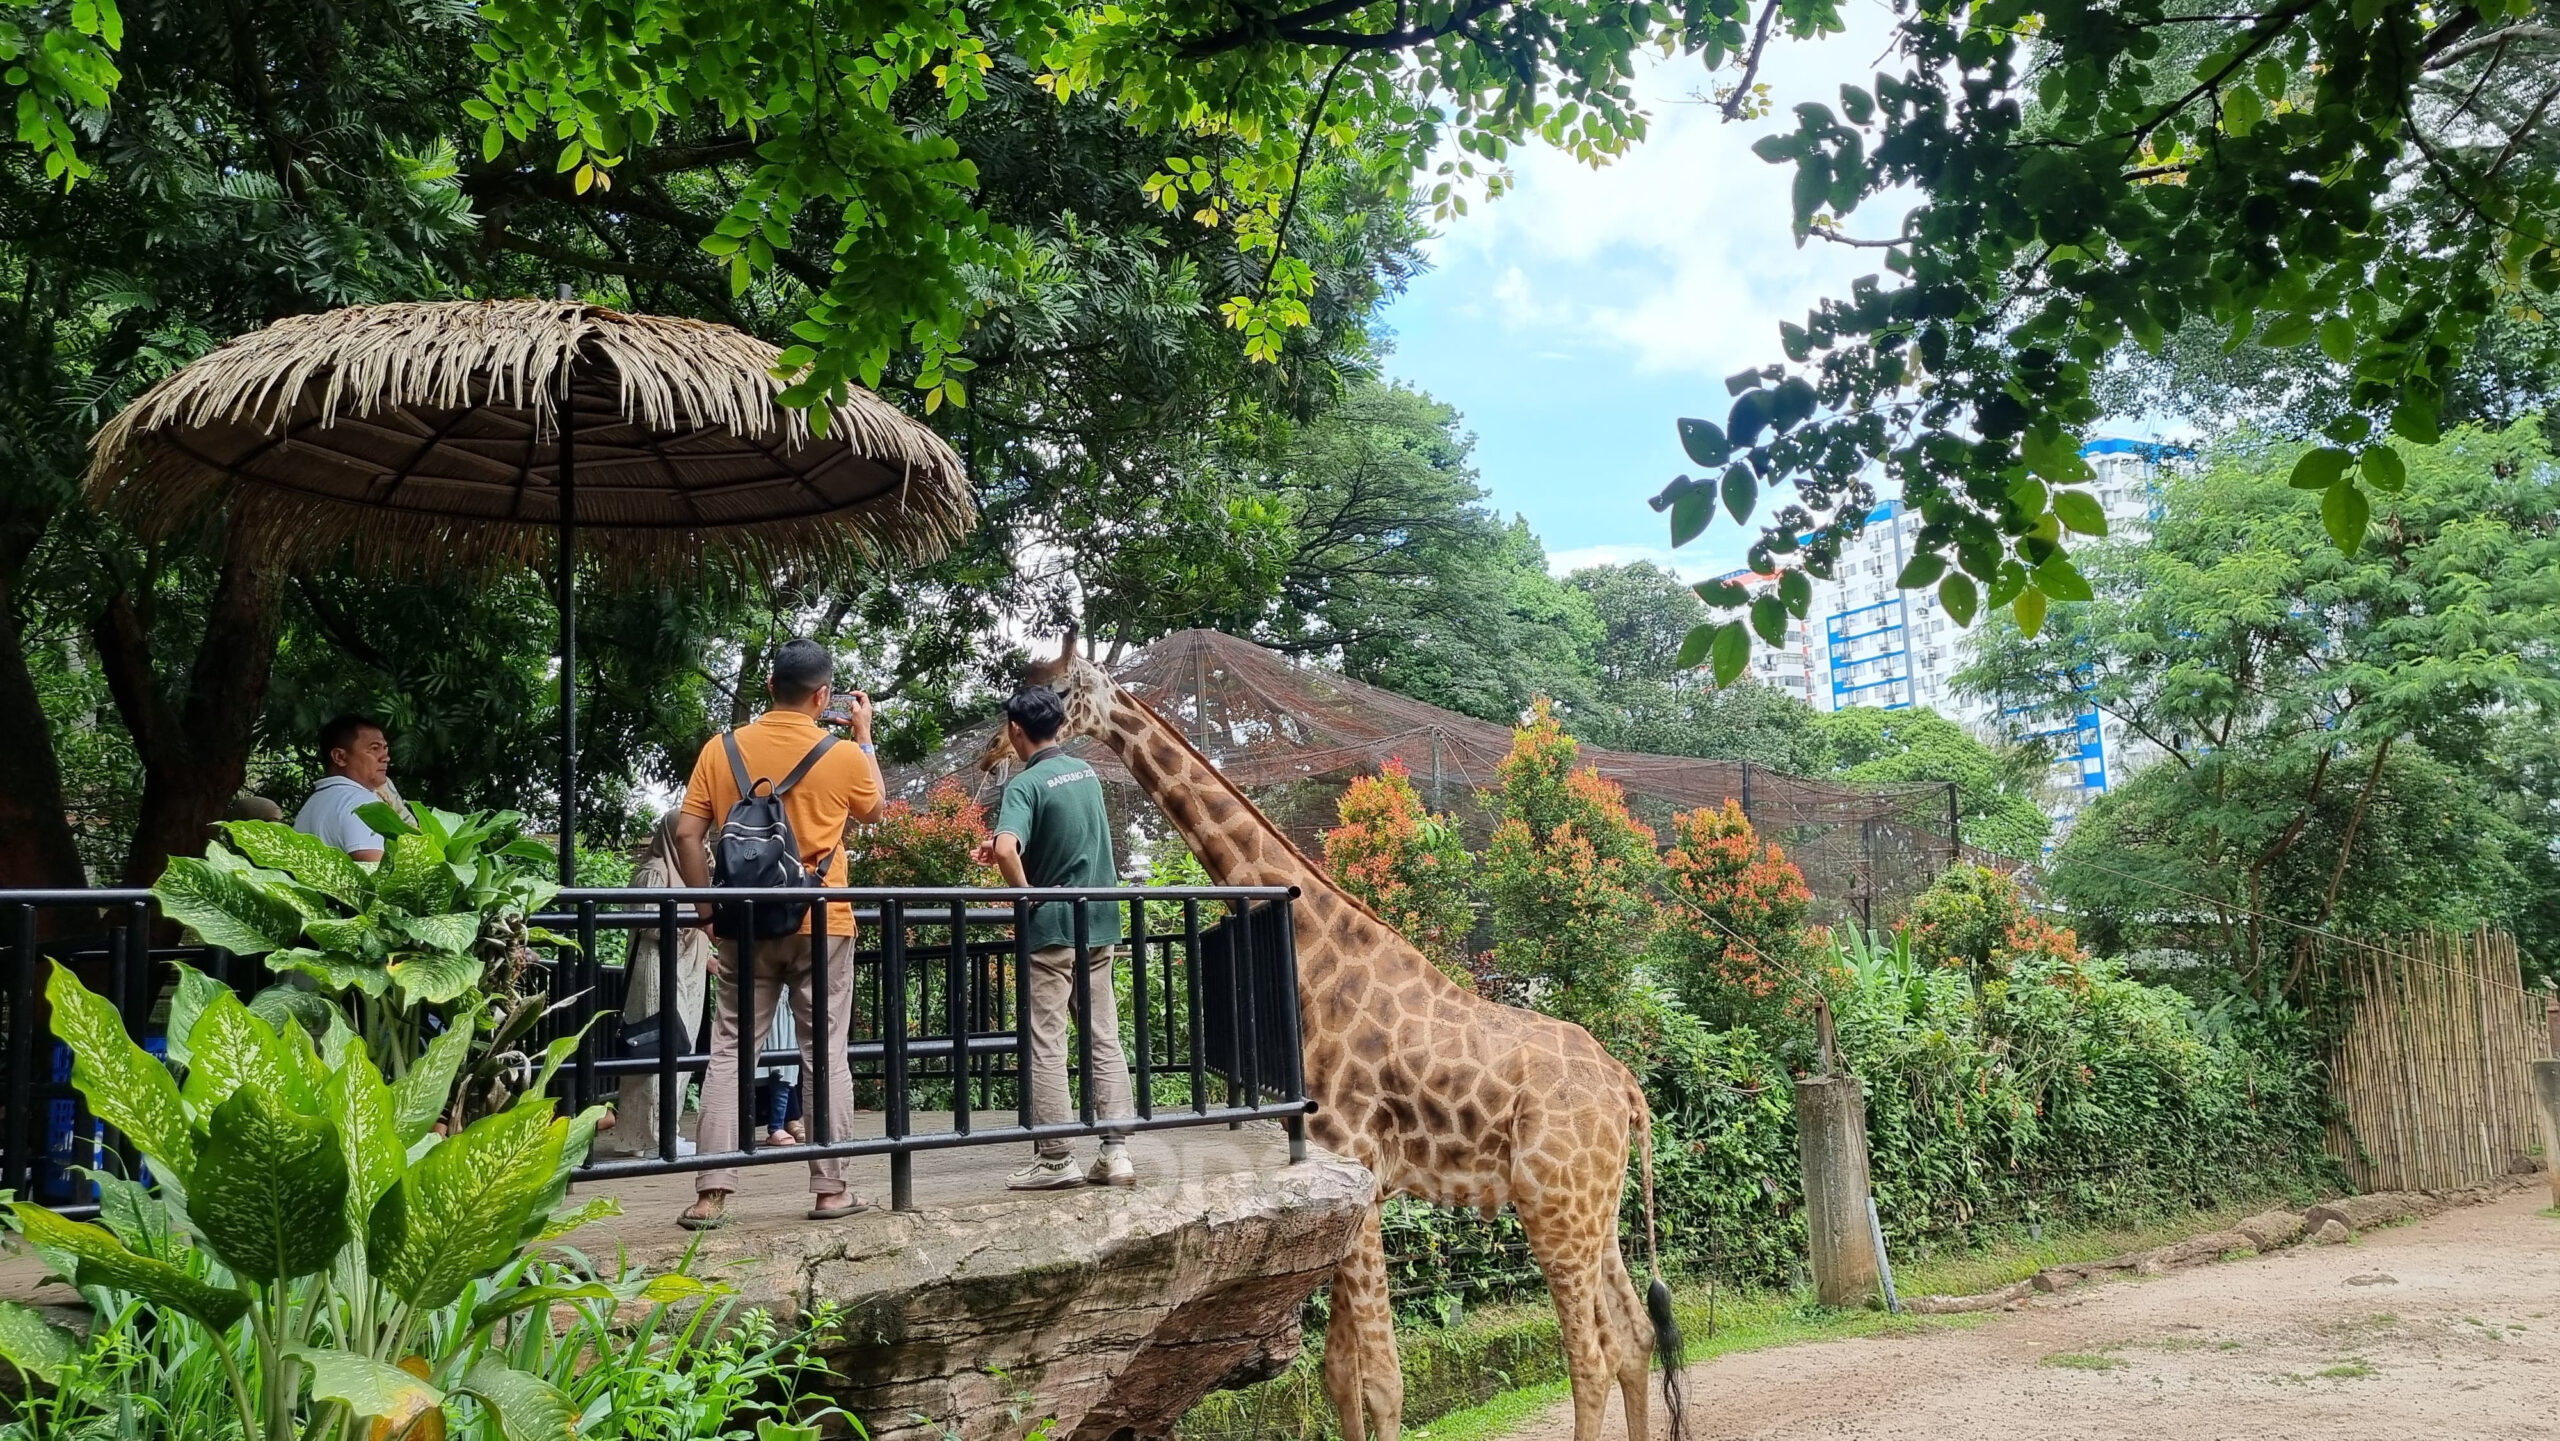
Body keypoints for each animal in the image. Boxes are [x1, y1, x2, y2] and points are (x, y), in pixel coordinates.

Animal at [977, 639, 1679, 1441]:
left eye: (1053, 690)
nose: (992, 753)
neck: (1315, 952)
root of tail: (1627, 1085)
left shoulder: (1361, 1168)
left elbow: (1384, 1382)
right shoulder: (1343, 1180)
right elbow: (1340, 1374)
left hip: (1553, 1202)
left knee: (1589, 1357)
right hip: (1596, 1204)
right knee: (1632, 1336)